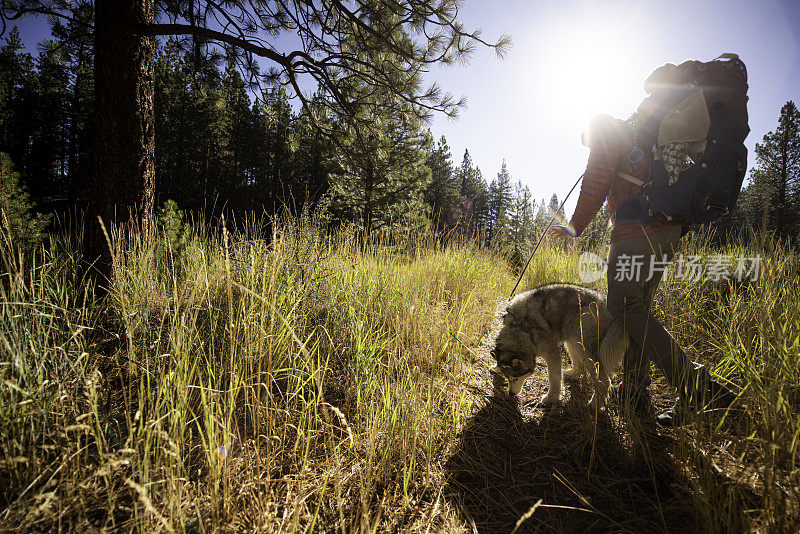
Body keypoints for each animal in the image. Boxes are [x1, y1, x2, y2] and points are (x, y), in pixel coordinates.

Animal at [490, 284, 628, 410]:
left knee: (604, 380)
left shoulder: (551, 352)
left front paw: (552, 398)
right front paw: (495, 366)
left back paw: (595, 404)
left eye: (515, 378)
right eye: (507, 378)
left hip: (583, 345)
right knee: (579, 365)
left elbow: (554, 377)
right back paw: (572, 373)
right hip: (572, 339)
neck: (522, 329)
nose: (511, 394)